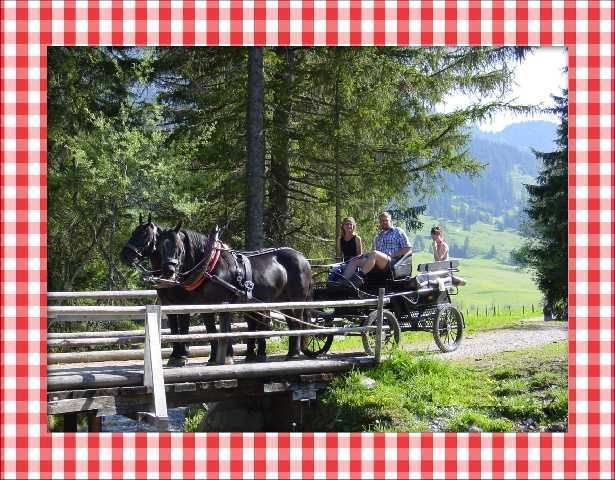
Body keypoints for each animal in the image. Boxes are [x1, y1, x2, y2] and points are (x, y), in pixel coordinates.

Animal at [120, 214, 219, 368]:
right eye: (133, 232)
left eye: (144, 234)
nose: (124, 255)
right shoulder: (168, 304)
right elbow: (173, 328)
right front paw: (175, 355)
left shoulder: (184, 304)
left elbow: (183, 327)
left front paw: (182, 356)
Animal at [159, 223, 312, 362]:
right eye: (160, 248)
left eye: (179, 248)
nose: (168, 271)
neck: (211, 264)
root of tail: (303, 258)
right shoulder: (206, 307)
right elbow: (211, 330)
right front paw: (213, 359)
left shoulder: (224, 303)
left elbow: (225, 331)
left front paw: (227, 357)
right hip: (284, 301)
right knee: (291, 323)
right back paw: (291, 353)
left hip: (296, 299)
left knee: (297, 322)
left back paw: (294, 354)